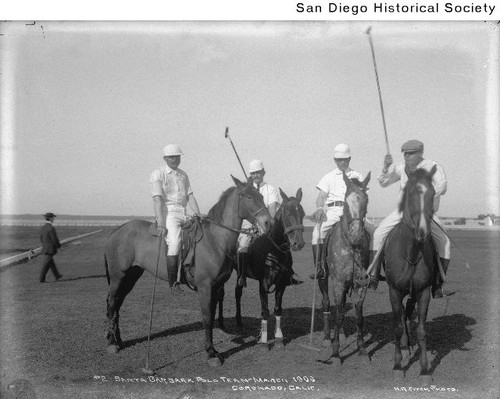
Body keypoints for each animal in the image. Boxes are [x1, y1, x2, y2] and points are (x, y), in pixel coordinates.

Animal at [103, 177, 272, 368]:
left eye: (260, 195)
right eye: (248, 196)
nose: (268, 223)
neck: (215, 240)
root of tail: (116, 231)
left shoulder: (216, 287)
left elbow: (212, 315)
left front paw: (213, 349)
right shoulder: (205, 287)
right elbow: (207, 318)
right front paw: (211, 353)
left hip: (131, 275)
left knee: (118, 304)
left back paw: (118, 340)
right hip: (118, 276)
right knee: (112, 303)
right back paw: (112, 343)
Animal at [218, 188, 304, 346]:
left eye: (302, 213)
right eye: (287, 214)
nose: (298, 243)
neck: (274, 251)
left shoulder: (281, 284)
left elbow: (277, 309)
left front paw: (278, 337)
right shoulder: (263, 284)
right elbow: (265, 310)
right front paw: (263, 338)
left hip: (240, 274)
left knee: (238, 292)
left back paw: (239, 321)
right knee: (221, 294)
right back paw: (221, 322)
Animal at [316, 173, 372, 368]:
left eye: (366, 200)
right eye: (346, 201)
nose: (357, 235)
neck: (351, 247)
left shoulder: (361, 284)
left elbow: (359, 315)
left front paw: (362, 351)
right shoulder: (339, 283)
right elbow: (339, 315)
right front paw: (335, 353)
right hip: (324, 279)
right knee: (327, 304)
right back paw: (327, 338)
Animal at [382, 166, 438, 384]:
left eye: (433, 194)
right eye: (411, 193)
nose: (423, 232)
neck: (412, 252)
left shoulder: (423, 292)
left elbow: (422, 330)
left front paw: (424, 370)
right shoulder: (394, 291)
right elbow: (397, 327)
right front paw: (398, 366)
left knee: (408, 311)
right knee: (402, 316)